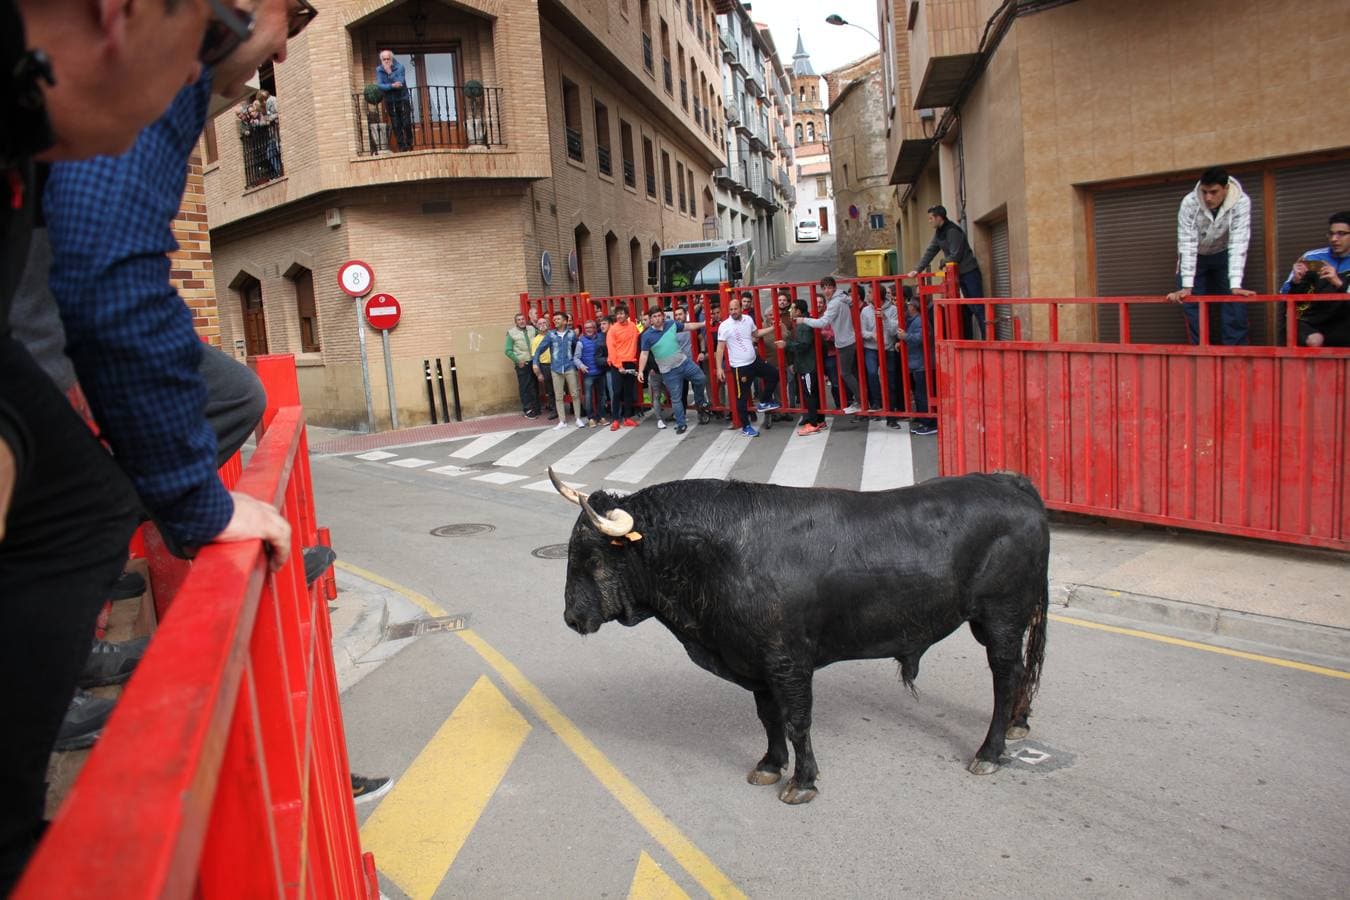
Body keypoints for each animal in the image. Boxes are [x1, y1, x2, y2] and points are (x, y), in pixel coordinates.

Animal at [548, 469, 1053, 804]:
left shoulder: (788, 661)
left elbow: (796, 721)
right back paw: (1017, 724)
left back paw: (990, 751)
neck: (720, 554)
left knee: (1006, 675)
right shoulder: (754, 662)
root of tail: (1008, 483)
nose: (571, 617)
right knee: (1018, 673)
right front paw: (770, 765)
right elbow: (769, 718)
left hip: (1001, 618)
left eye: (593, 558)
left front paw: (803, 781)